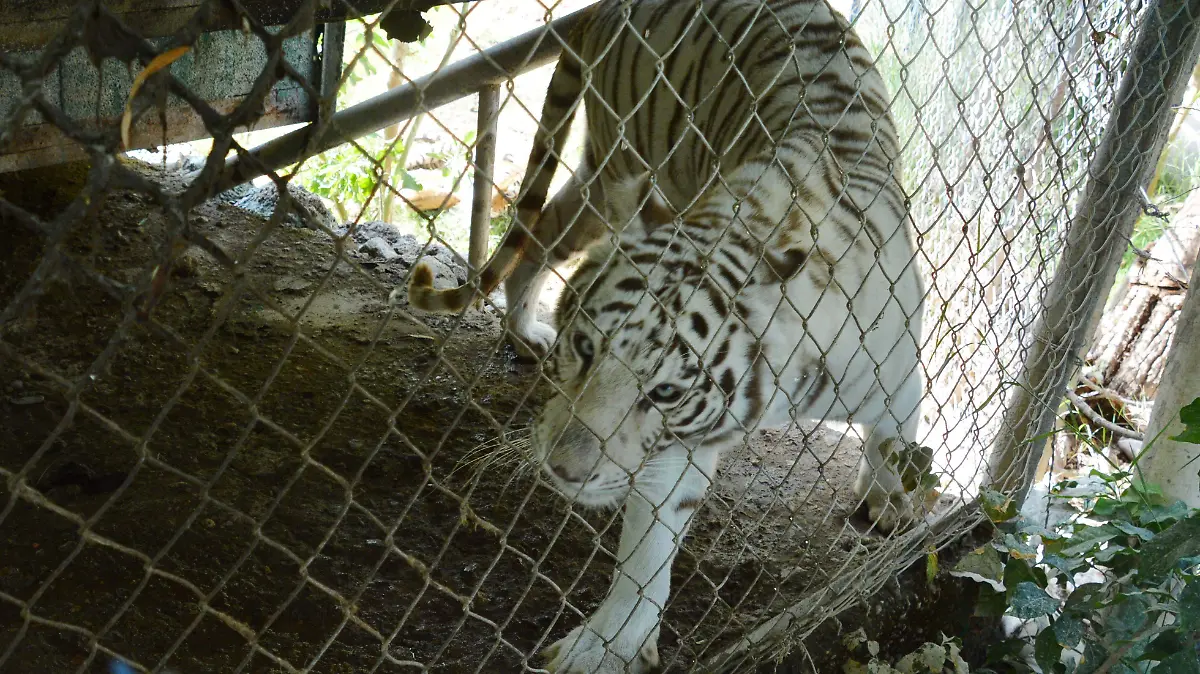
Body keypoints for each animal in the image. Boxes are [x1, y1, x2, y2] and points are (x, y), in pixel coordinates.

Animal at [408, 1, 921, 671]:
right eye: (586, 348)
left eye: (665, 394)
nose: (563, 470)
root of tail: (603, 8)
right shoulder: (674, 452)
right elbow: (647, 554)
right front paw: (603, 646)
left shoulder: (898, 364)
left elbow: (897, 438)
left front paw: (890, 503)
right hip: (618, 157)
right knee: (545, 230)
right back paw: (522, 330)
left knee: (547, 227)